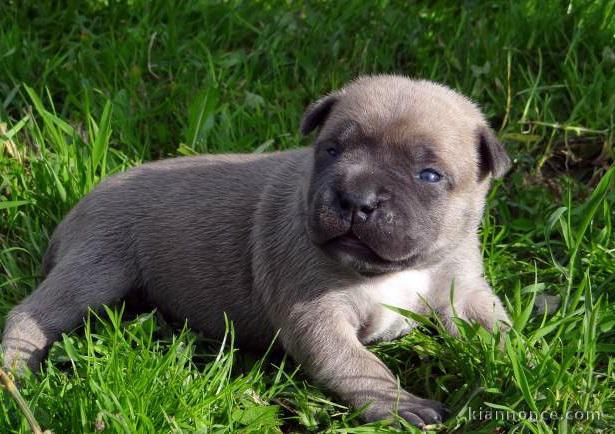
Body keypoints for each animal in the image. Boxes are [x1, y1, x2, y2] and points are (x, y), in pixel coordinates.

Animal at [3, 74, 510, 428]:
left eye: (429, 175)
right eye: (331, 150)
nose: (357, 198)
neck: (392, 271)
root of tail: (76, 209)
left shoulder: (462, 289)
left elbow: (492, 326)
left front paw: (517, 362)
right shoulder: (317, 316)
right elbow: (360, 366)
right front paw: (400, 404)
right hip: (95, 267)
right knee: (32, 314)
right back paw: (16, 373)